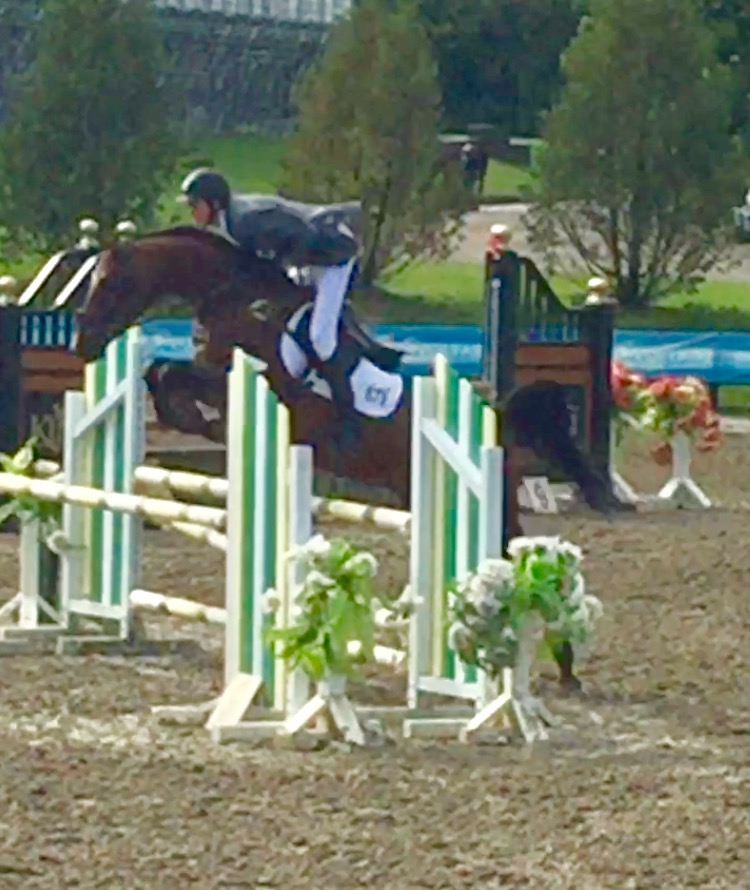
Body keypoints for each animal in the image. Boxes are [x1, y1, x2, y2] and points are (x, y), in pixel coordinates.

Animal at [71, 225, 620, 690]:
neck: (238, 301)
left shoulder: (256, 381)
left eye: (112, 283)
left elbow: (175, 376)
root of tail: (497, 417)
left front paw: (201, 421)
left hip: (492, 501)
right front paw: (187, 418)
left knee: (525, 564)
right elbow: (160, 373)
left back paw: (561, 662)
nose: (82, 342)